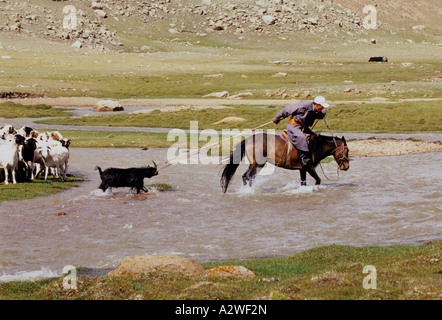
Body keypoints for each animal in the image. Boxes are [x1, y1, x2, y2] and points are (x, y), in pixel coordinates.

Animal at [220, 132, 348, 194]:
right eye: (346, 150)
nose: (346, 166)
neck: (316, 146)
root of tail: (248, 139)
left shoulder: (302, 169)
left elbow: (303, 182)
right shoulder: (309, 167)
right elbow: (318, 180)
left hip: (257, 165)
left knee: (248, 176)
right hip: (257, 164)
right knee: (247, 176)